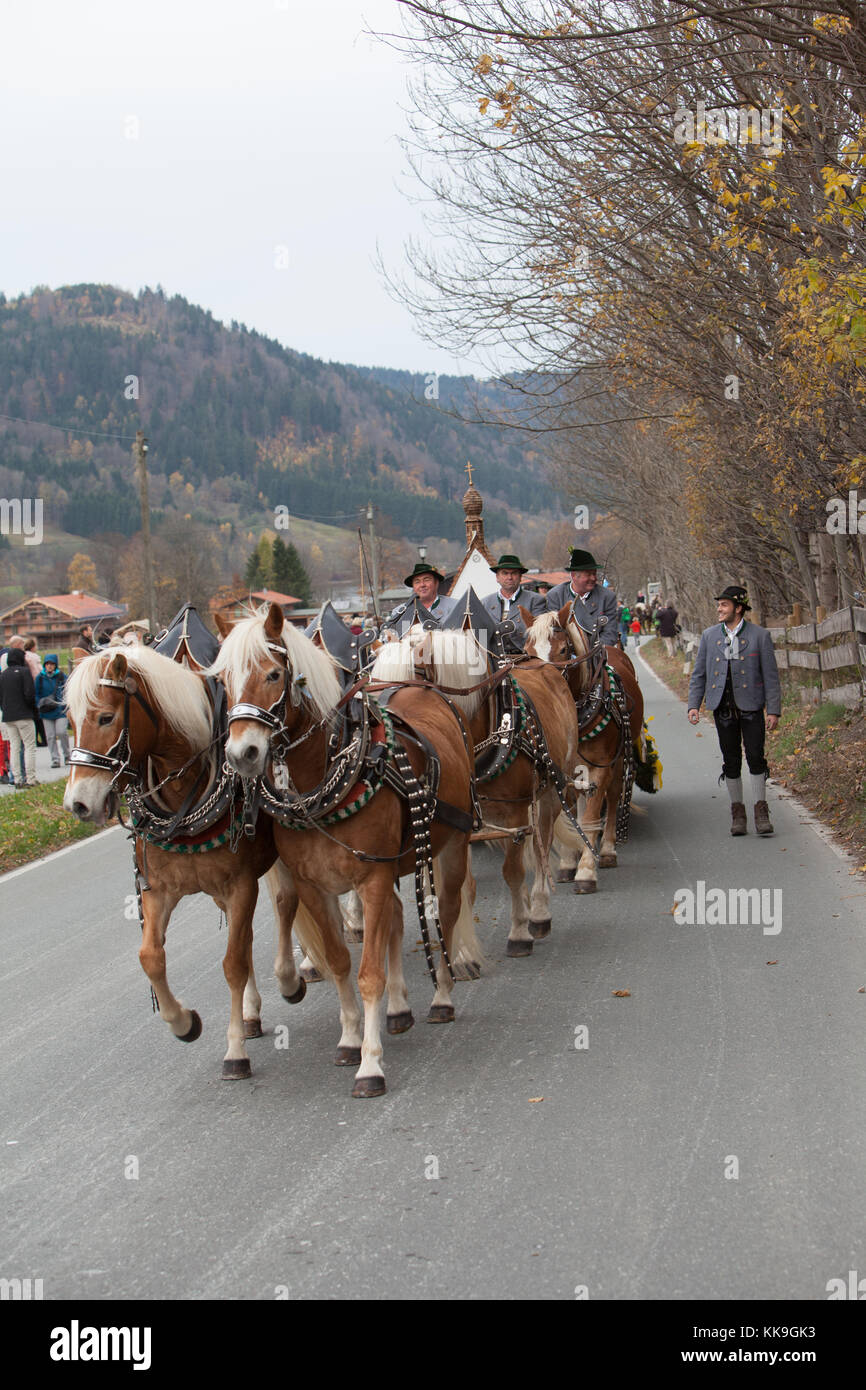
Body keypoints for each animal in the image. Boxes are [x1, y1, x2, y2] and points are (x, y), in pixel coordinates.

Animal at [64, 644, 316, 1078]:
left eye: (106, 717)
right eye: (68, 722)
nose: (78, 803)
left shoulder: (240, 884)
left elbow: (233, 962)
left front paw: (234, 1051)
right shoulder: (159, 890)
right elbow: (151, 957)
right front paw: (183, 1022)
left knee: (285, 904)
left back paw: (292, 976)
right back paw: (251, 1013)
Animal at [207, 600, 483, 1095]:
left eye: (273, 674)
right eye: (223, 680)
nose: (242, 754)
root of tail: (421, 684)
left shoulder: (371, 878)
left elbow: (369, 972)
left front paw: (370, 1064)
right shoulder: (314, 886)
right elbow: (338, 961)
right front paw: (352, 1037)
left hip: (451, 846)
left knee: (448, 912)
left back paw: (441, 995)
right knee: (399, 916)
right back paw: (399, 1009)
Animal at [522, 606, 656, 889]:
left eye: (564, 650)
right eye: (527, 649)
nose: (541, 684)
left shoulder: (601, 767)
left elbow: (592, 816)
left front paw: (585, 870)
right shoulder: (562, 770)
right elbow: (572, 814)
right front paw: (568, 862)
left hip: (619, 759)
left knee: (613, 796)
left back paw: (606, 851)